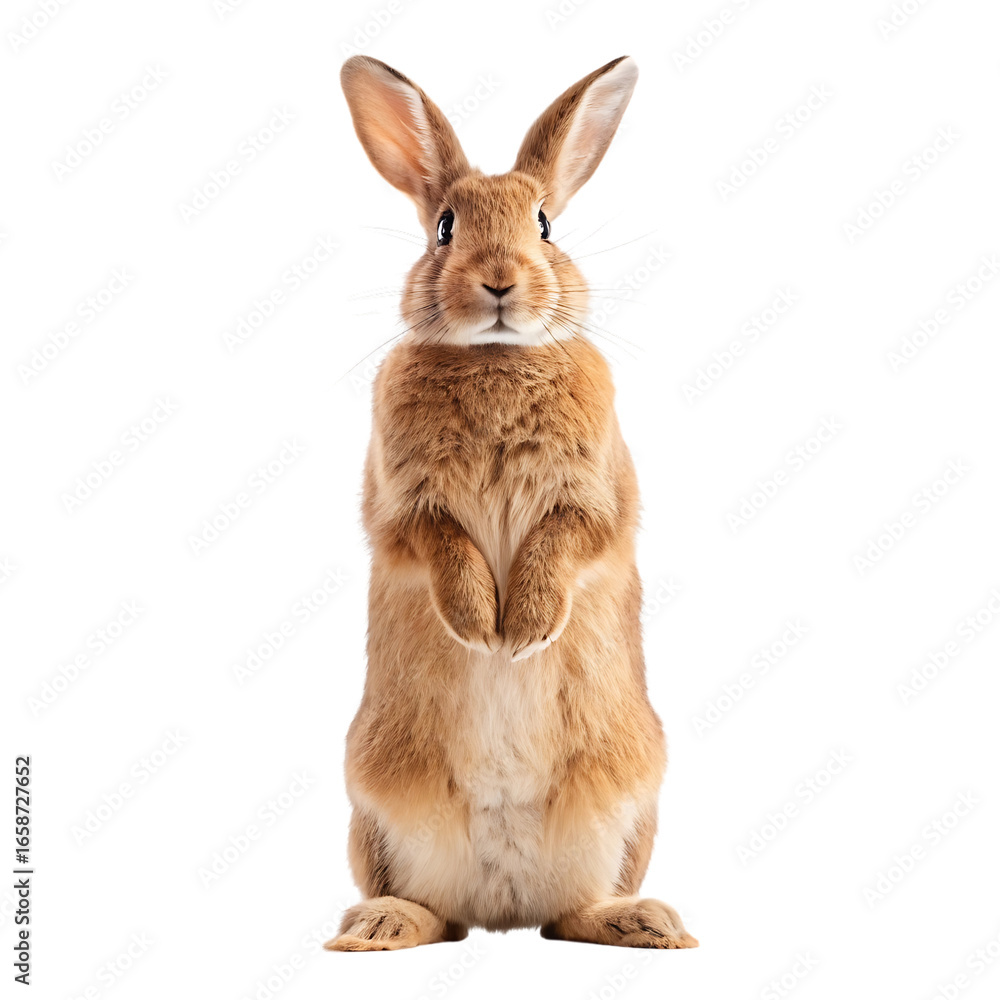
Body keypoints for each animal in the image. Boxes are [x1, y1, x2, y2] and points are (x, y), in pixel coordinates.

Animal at [326, 54, 697, 952]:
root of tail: (503, 909)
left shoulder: (595, 497)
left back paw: (646, 922)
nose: (499, 281)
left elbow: (565, 543)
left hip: (628, 808)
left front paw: (521, 631)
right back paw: (377, 927)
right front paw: (478, 626)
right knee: (434, 911)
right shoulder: (402, 506)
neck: (496, 356)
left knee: (572, 914)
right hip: (374, 806)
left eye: (545, 226)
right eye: (445, 228)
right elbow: (440, 545)